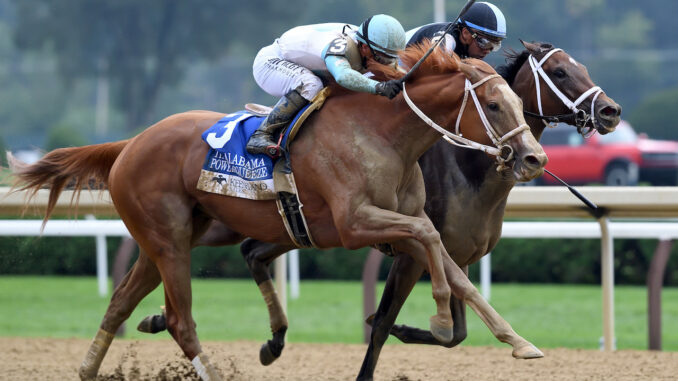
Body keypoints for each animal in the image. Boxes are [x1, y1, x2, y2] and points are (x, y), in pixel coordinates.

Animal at [9, 43, 548, 378]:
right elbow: (430, 243)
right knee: (182, 321)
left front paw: (519, 341)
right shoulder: (355, 224)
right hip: (168, 240)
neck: (385, 136)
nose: (534, 158)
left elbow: (454, 271)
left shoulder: (404, 231)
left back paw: (88, 367)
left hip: (163, 240)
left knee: (121, 301)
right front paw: (437, 316)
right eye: (494, 106)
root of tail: (130, 143)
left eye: (519, 101)